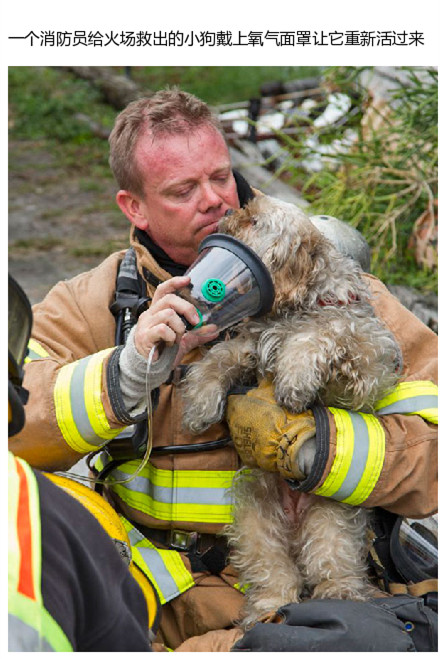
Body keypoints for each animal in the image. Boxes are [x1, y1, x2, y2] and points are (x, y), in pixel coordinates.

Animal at [180, 193, 400, 628]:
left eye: (254, 220)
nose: (225, 212)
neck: (296, 306)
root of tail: (295, 521)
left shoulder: (366, 364)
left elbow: (322, 332)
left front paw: (294, 379)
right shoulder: (247, 344)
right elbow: (220, 357)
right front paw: (200, 400)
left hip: (332, 523)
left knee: (331, 568)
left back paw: (341, 597)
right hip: (255, 520)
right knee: (276, 576)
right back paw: (266, 611)